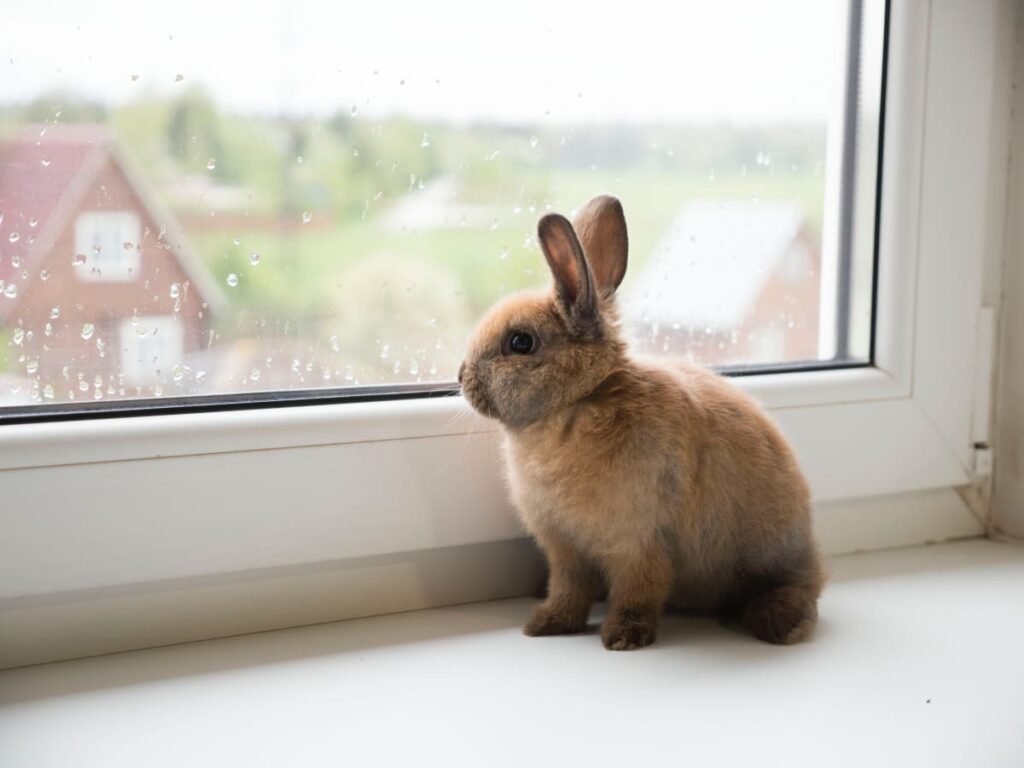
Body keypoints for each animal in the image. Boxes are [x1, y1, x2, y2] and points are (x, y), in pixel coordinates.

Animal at [460, 196, 827, 651]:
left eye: (521, 342)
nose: (461, 377)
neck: (580, 400)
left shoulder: (638, 543)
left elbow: (640, 590)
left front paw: (623, 637)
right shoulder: (565, 550)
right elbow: (568, 590)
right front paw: (546, 624)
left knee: (803, 587)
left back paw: (781, 623)